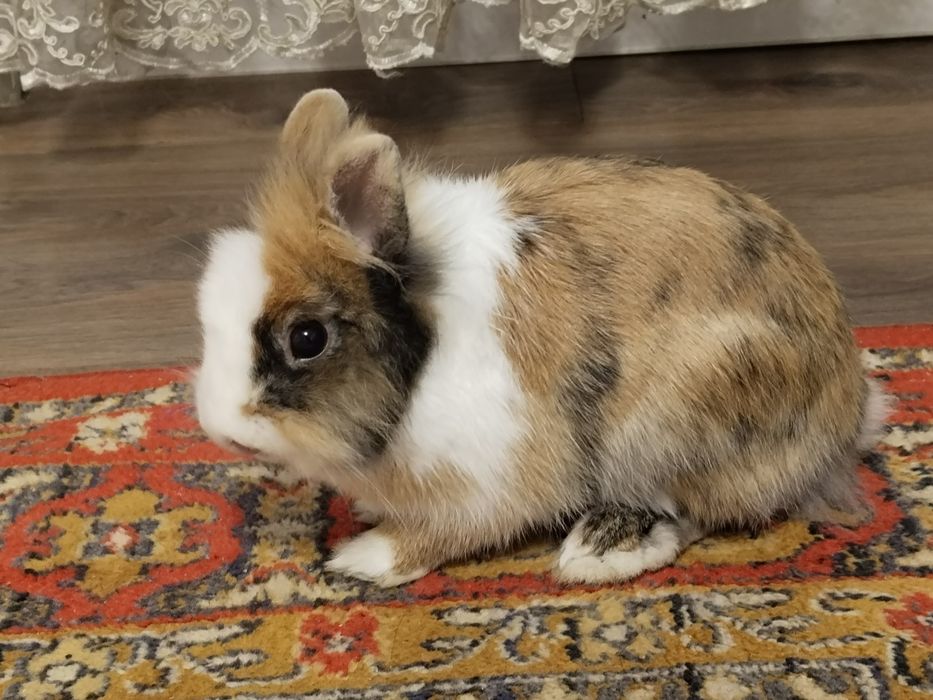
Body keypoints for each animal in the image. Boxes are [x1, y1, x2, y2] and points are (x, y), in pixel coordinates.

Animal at [194, 89, 890, 587]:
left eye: (307, 337)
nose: (224, 432)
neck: (426, 352)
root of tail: (846, 416)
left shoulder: (488, 472)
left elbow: (449, 529)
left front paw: (366, 556)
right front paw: (367, 514)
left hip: (678, 417)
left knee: (700, 506)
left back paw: (598, 550)